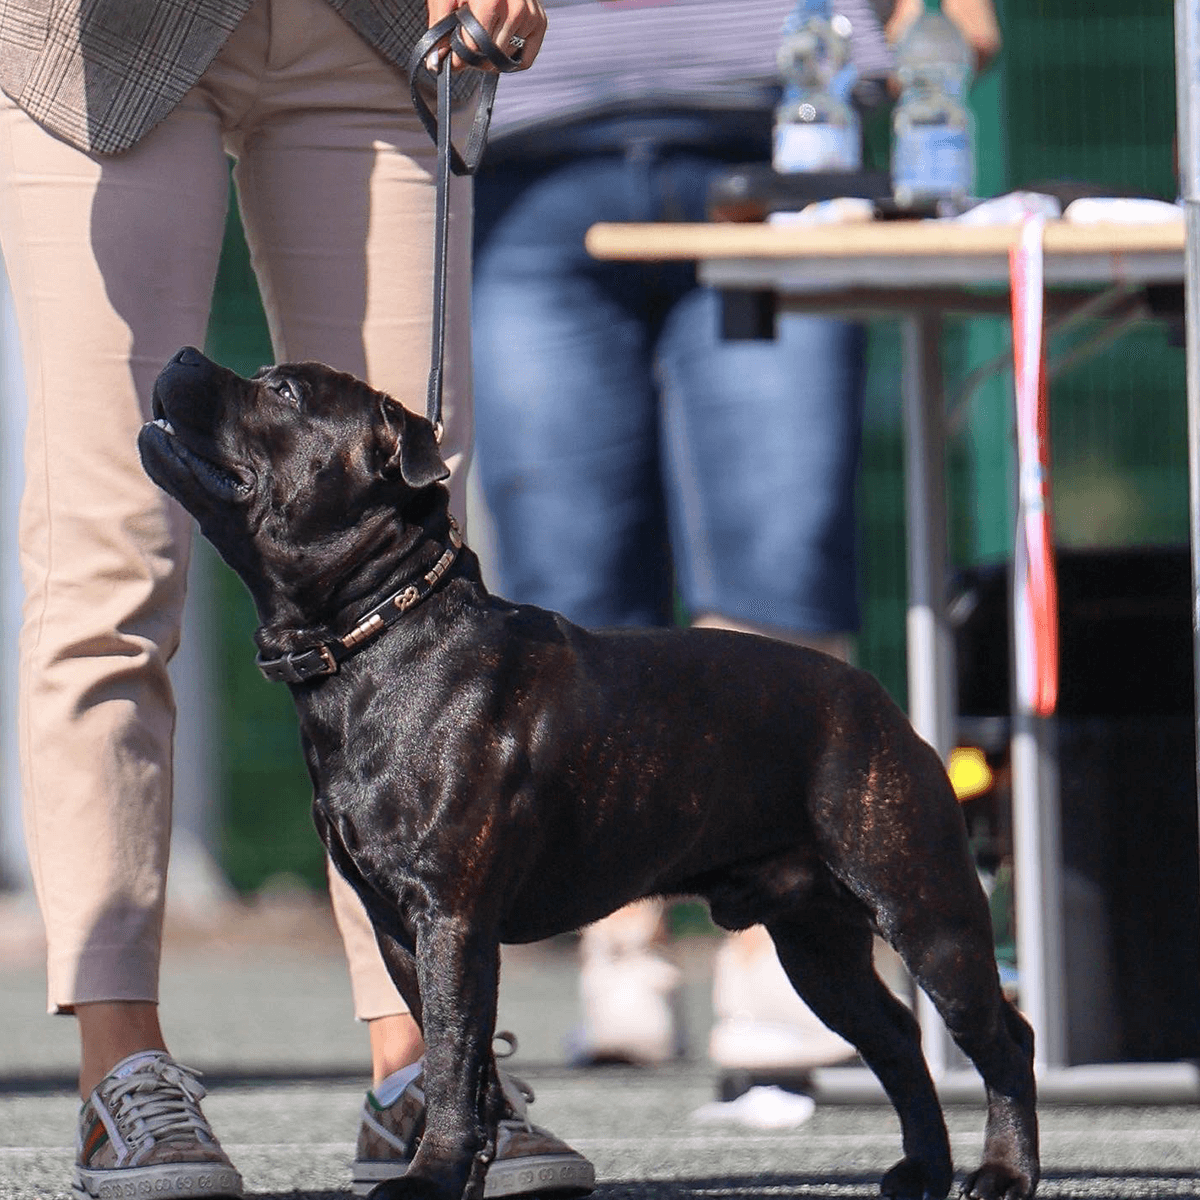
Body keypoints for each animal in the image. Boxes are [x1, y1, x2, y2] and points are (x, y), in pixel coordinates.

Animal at [138, 345, 1041, 1200]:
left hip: (924, 910)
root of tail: (878, 698)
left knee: (1001, 1037)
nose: (181, 355)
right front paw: (474, 1167)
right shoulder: (401, 931)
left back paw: (1004, 1173)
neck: (382, 632)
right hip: (818, 946)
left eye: (285, 393)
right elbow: (464, 1063)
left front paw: (430, 1177)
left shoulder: (451, 921)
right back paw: (924, 1169)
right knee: (896, 1039)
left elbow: (452, 1057)